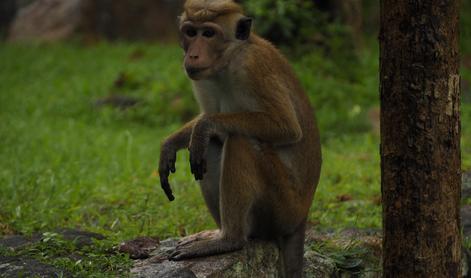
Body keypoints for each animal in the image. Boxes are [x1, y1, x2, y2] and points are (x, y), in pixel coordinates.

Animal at [158, 0, 320, 276]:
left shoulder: (252, 67)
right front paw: (171, 143)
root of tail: (302, 218)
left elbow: (287, 127)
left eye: (208, 34)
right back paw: (224, 233)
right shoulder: (202, 78)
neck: (228, 60)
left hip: (283, 208)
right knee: (210, 146)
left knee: (240, 140)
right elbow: (206, 119)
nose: (192, 55)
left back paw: (229, 240)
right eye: (190, 32)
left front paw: (203, 126)